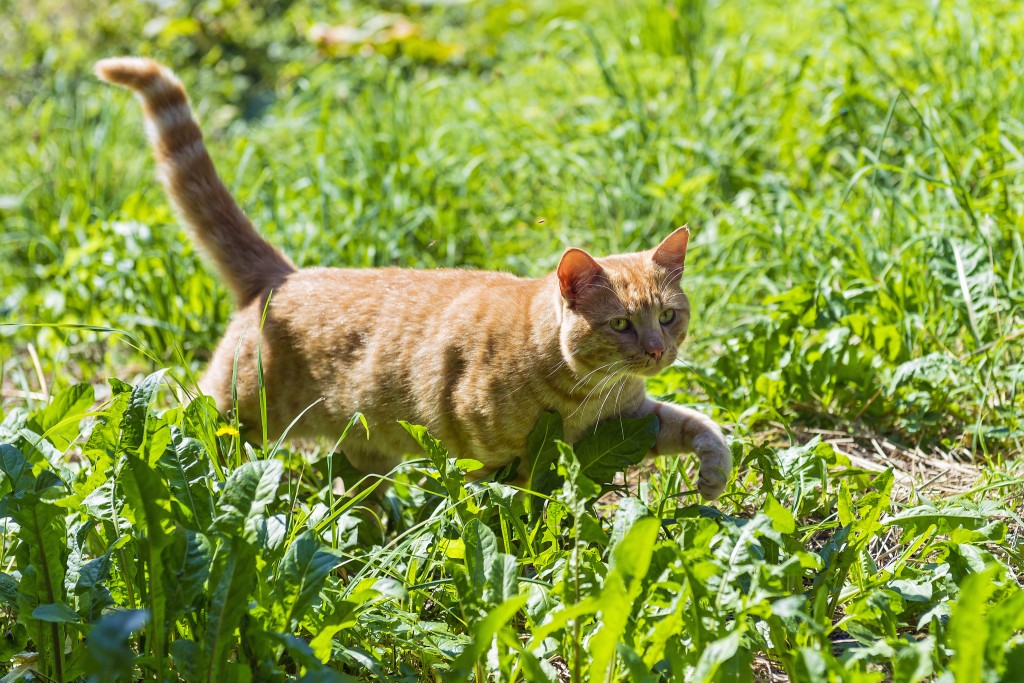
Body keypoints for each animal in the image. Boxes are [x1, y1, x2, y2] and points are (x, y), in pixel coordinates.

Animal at [96, 56, 733, 499]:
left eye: (667, 316)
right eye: (622, 324)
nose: (656, 351)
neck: (582, 393)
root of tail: (287, 274)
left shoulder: (633, 419)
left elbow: (698, 425)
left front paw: (713, 474)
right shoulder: (503, 461)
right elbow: (522, 510)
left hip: (364, 452)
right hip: (234, 415)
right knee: (186, 420)